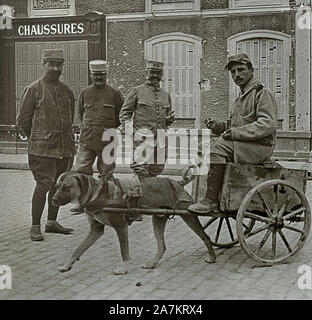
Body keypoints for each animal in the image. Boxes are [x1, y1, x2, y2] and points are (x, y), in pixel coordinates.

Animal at [52, 170, 216, 276]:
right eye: (56, 186)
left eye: (66, 187)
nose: (53, 200)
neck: (97, 194)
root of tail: (176, 182)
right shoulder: (96, 229)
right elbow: (78, 249)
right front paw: (67, 265)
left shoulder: (121, 227)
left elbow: (124, 250)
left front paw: (124, 268)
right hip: (158, 219)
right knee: (162, 246)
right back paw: (152, 263)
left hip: (189, 217)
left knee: (205, 236)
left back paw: (212, 256)